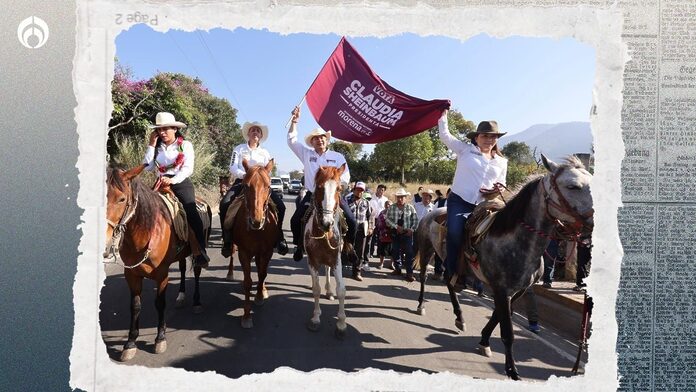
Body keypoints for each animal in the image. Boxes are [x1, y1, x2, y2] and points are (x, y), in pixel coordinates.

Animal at [104, 165, 209, 362]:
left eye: (122, 198)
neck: (147, 230)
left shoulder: (162, 274)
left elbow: (160, 303)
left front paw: (160, 338)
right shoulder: (132, 275)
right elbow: (135, 306)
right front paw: (130, 343)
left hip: (198, 251)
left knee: (197, 272)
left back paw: (197, 302)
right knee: (182, 268)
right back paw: (181, 296)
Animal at [228, 159, 278, 328]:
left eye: (268, 186)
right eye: (245, 186)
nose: (256, 221)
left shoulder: (267, 251)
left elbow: (262, 274)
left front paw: (259, 297)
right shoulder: (244, 252)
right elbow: (248, 282)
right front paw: (246, 315)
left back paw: (263, 290)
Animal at [304, 164, 348, 338]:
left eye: (339, 189)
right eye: (319, 187)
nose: (327, 223)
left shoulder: (337, 260)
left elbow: (341, 290)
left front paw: (341, 324)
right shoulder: (312, 261)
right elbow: (316, 289)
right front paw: (315, 318)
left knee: (328, 271)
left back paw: (329, 292)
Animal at [414, 155, 592, 380]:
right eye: (572, 186)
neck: (516, 241)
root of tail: (431, 212)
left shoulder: (517, 290)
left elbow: (498, 316)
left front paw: (484, 341)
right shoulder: (501, 289)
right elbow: (507, 331)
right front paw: (512, 371)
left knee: (448, 280)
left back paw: (459, 317)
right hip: (426, 249)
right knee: (423, 277)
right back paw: (421, 305)